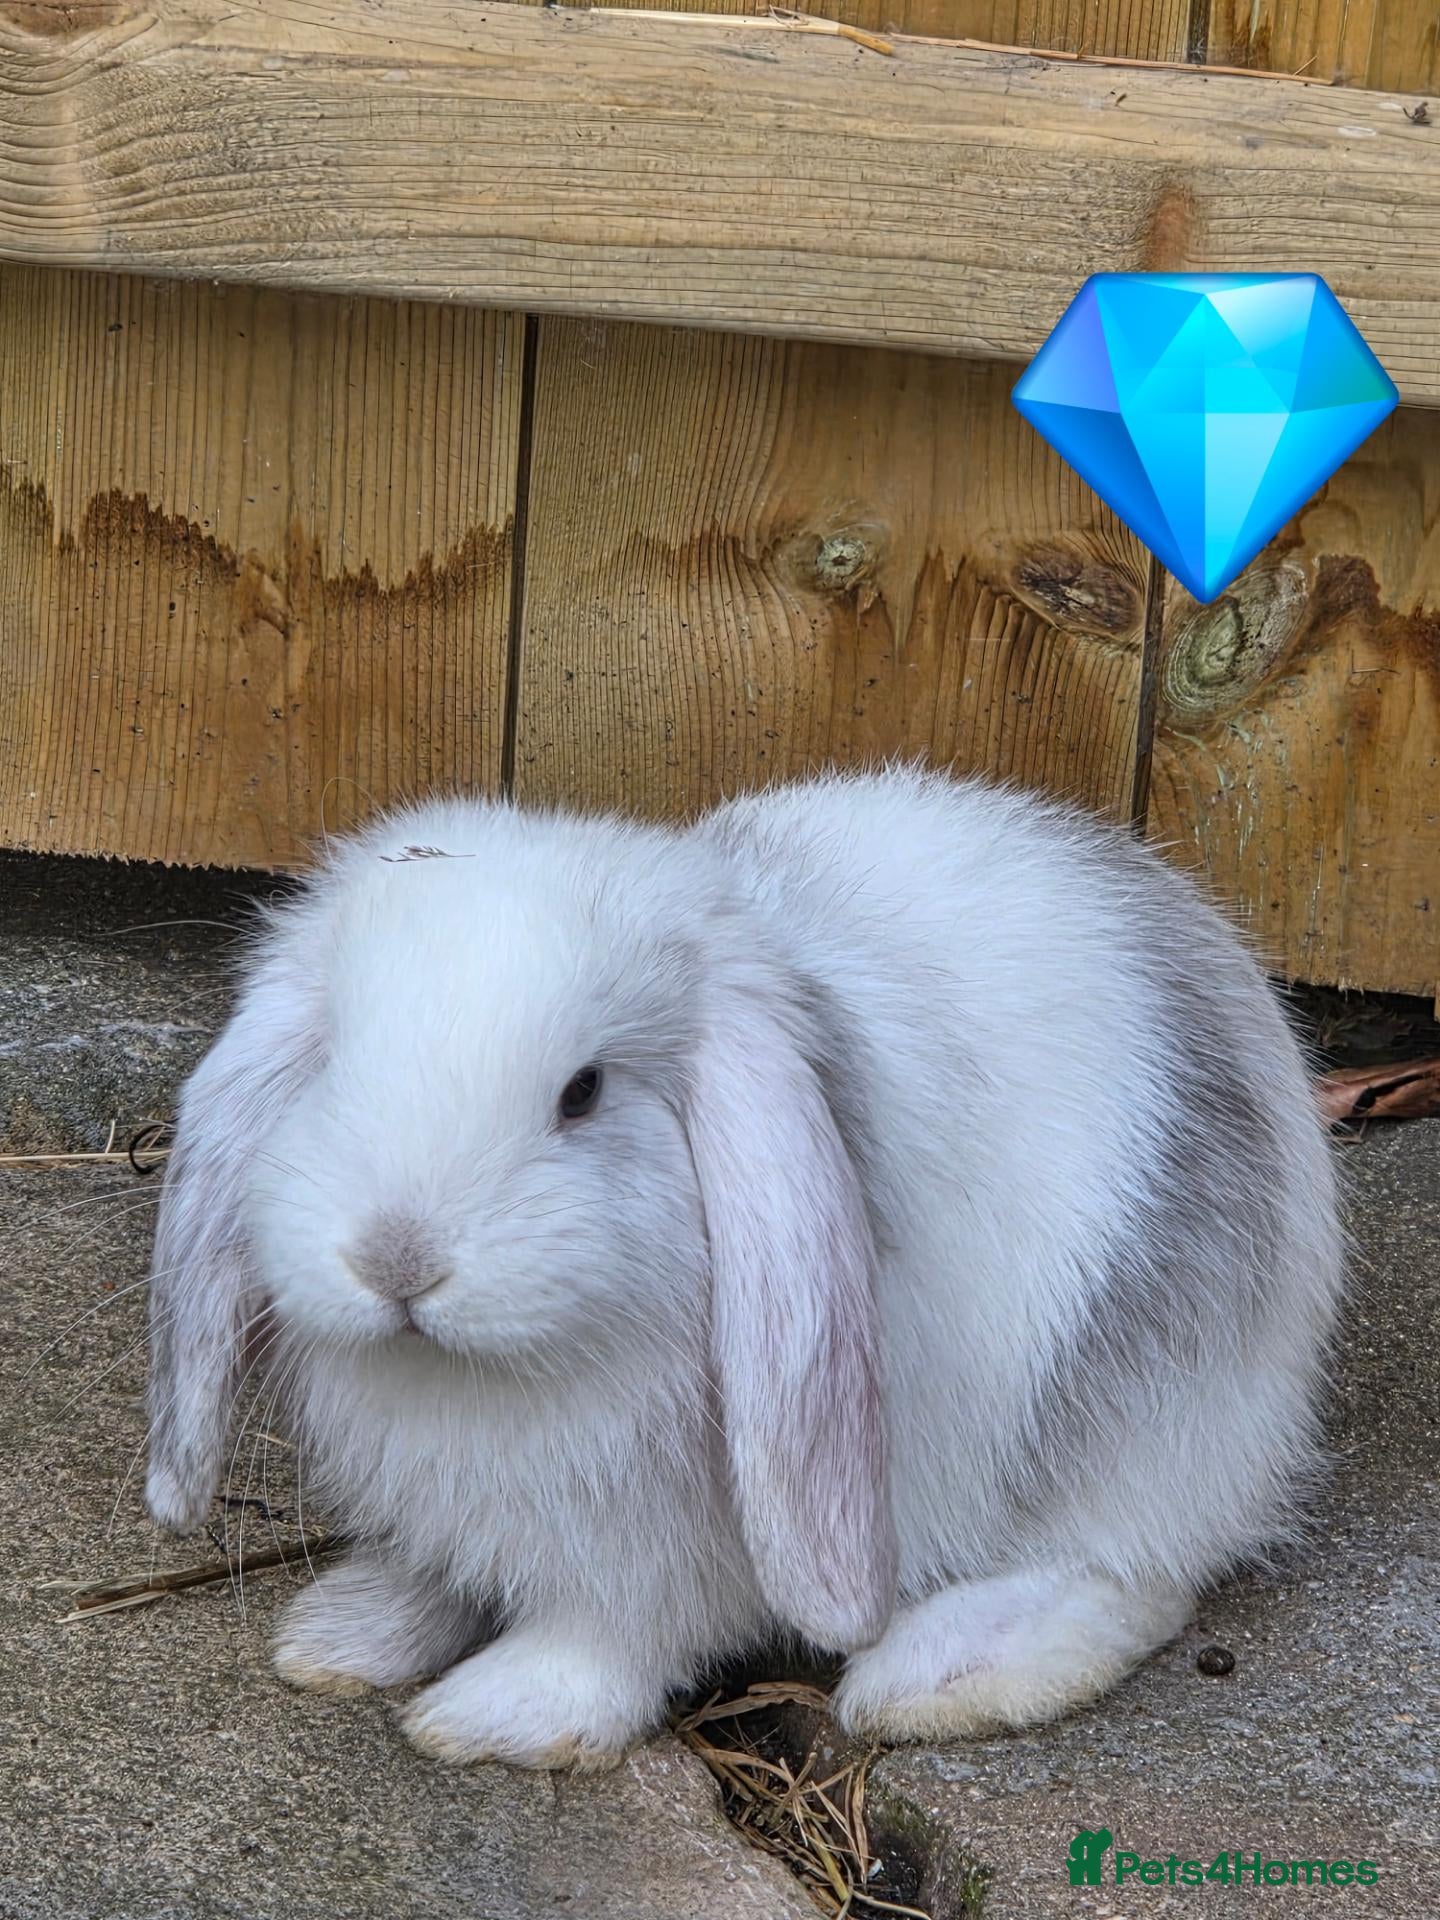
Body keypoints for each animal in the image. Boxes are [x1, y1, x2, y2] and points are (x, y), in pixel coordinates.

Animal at [145, 766, 1342, 1769]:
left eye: (583, 1092)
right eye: (332, 1065)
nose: (396, 1259)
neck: (480, 1382)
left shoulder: (653, 1561)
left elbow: (605, 1640)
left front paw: (498, 1717)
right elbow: (442, 1575)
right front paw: (352, 1633)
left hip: (1149, 1400)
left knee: (1136, 1569)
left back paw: (938, 1677)